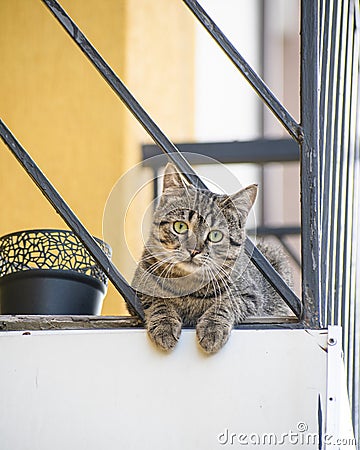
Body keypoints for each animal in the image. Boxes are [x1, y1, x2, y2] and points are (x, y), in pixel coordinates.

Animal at [131, 163, 292, 354]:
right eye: (180, 226)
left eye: (215, 235)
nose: (194, 250)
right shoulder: (138, 286)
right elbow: (157, 299)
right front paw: (165, 324)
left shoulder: (251, 297)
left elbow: (228, 302)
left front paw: (212, 327)